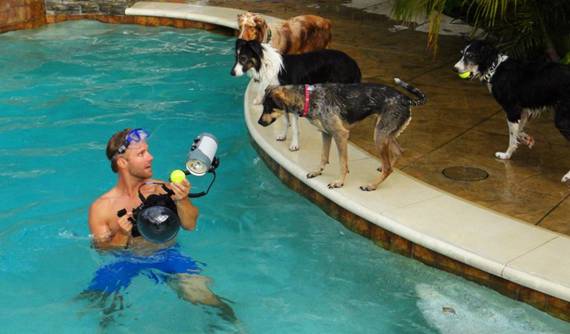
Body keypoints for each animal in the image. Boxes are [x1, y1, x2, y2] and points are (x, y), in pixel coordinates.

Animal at [231, 38, 360, 151]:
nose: (231, 73)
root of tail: (353, 62)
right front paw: (283, 136)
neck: (266, 66)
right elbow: (286, 121)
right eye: (236, 58)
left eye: (243, 58)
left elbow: (294, 127)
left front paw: (294, 145)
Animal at [258, 79, 426, 190]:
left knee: (389, 167)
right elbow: (323, 157)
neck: (307, 98)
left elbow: (342, 163)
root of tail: (406, 99)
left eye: (268, 108)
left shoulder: (340, 135)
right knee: (398, 152)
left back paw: (371, 185)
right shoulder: (326, 133)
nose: (259, 122)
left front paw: (339, 182)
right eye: (263, 106)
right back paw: (383, 168)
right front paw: (317, 172)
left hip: (379, 135)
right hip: (384, 133)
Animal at [452, 41, 568, 183]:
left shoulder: (512, 110)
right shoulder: (522, 110)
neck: (495, 69)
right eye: (462, 53)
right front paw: (526, 139)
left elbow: (512, 137)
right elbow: (519, 130)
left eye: (470, 55)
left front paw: (506, 155)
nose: (454, 69)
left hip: (562, 120)